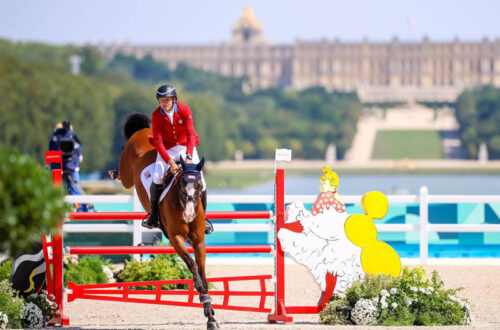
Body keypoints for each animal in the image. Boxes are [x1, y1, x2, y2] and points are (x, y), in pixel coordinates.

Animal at [119, 112, 219, 328]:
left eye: (199, 186)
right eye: (181, 184)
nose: (189, 215)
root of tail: (142, 131)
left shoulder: (198, 241)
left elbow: (202, 271)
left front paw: (210, 315)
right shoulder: (176, 239)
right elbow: (193, 266)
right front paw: (203, 298)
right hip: (127, 175)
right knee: (122, 176)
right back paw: (113, 173)